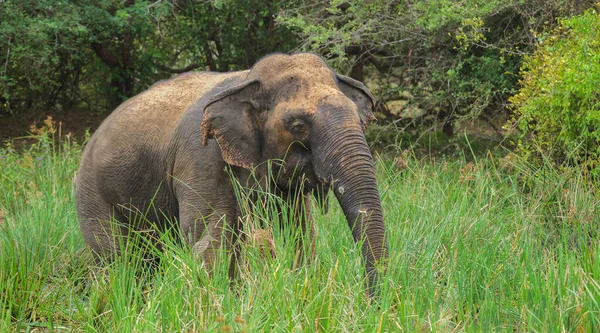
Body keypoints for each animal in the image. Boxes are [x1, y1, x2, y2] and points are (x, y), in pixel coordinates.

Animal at [76, 52, 390, 296]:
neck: (248, 80)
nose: (372, 302)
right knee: (115, 258)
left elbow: (299, 233)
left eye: (361, 120)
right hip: (93, 191)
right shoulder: (202, 156)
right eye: (298, 126)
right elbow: (210, 241)